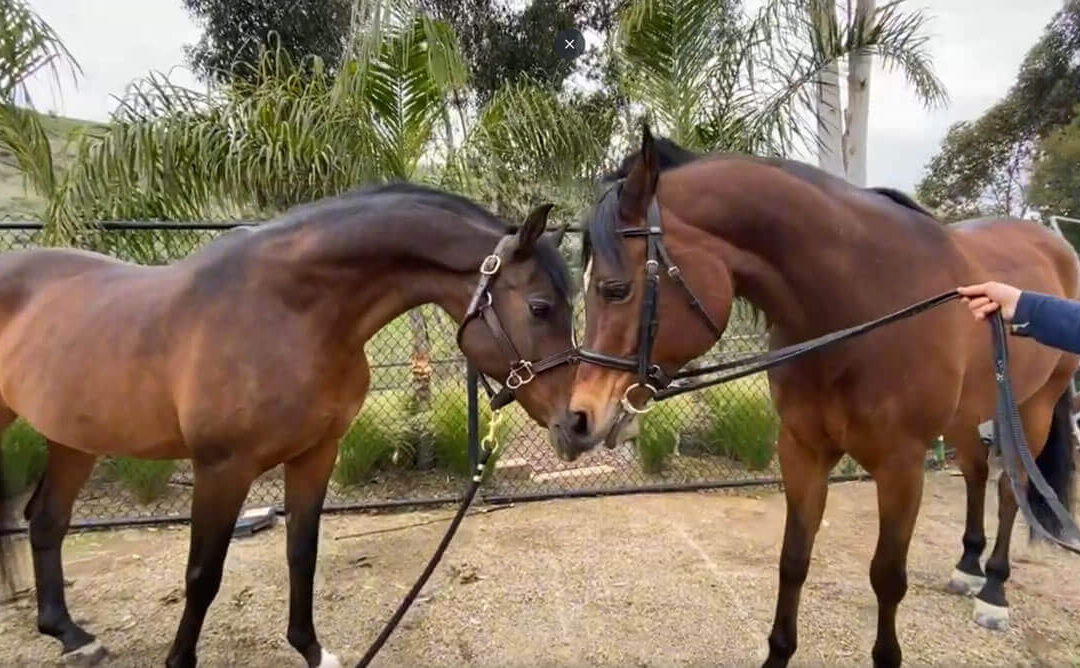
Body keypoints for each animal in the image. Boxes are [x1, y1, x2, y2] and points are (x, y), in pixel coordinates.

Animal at [0, 183, 578, 667]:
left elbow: (302, 554)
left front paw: (312, 650)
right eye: (539, 306)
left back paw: (70, 635)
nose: (578, 423)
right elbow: (202, 575)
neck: (290, 311)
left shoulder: (315, 453)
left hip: (72, 438)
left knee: (46, 520)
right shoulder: (221, 469)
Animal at [556, 126, 1078, 667]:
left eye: (616, 289)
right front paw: (778, 653)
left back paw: (993, 589)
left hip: (1033, 407)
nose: (576, 420)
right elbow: (793, 560)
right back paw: (969, 565)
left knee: (1010, 487)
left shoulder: (902, 466)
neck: (861, 307)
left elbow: (886, 578)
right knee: (977, 472)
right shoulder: (803, 450)